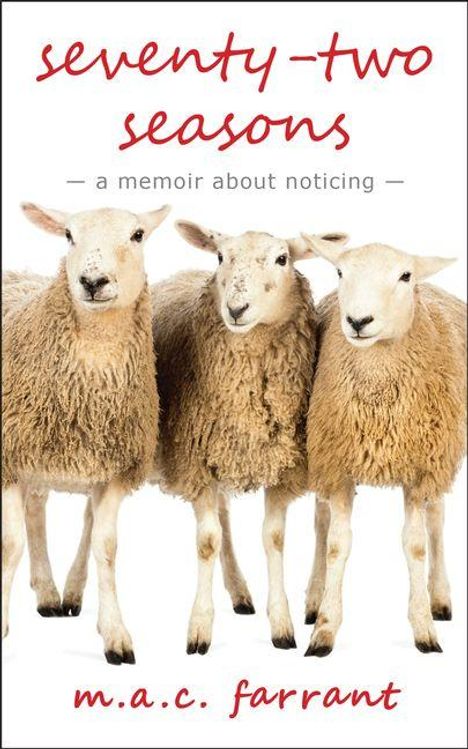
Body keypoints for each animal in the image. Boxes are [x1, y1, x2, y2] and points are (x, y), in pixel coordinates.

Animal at [2, 201, 170, 664]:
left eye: (137, 234)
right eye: (68, 235)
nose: (93, 282)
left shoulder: (114, 472)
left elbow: (105, 547)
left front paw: (115, 634)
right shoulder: (9, 460)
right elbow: (10, 546)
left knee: (47, 514)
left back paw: (56, 594)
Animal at [148, 221, 348, 654]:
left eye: (282, 258)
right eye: (221, 256)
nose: (236, 309)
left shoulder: (283, 466)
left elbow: (274, 538)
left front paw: (282, 625)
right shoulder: (198, 462)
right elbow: (207, 541)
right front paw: (199, 628)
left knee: (321, 519)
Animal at [300, 236, 466, 657]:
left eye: (404, 276)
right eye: (340, 271)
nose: (359, 321)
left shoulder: (420, 468)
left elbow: (416, 544)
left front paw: (424, 628)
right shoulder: (337, 465)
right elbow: (336, 543)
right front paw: (324, 629)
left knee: (437, 520)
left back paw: (440, 598)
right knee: (320, 522)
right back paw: (313, 599)